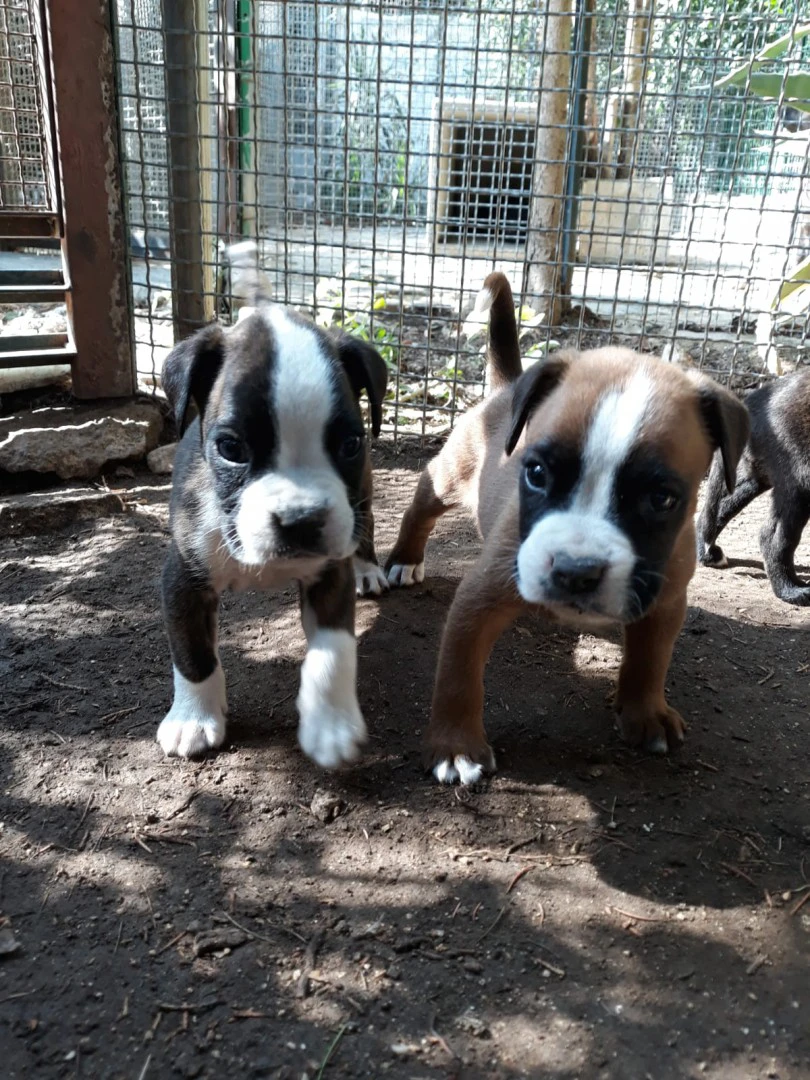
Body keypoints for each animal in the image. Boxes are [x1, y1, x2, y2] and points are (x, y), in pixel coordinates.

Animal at [384, 274, 747, 786]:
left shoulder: (665, 601)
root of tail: (509, 386)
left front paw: (646, 711)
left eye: (662, 498)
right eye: (536, 472)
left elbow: (651, 659)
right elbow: (458, 676)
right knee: (422, 502)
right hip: (450, 475)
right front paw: (455, 747)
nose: (577, 571)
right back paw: (404, 558)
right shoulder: (478, 601)